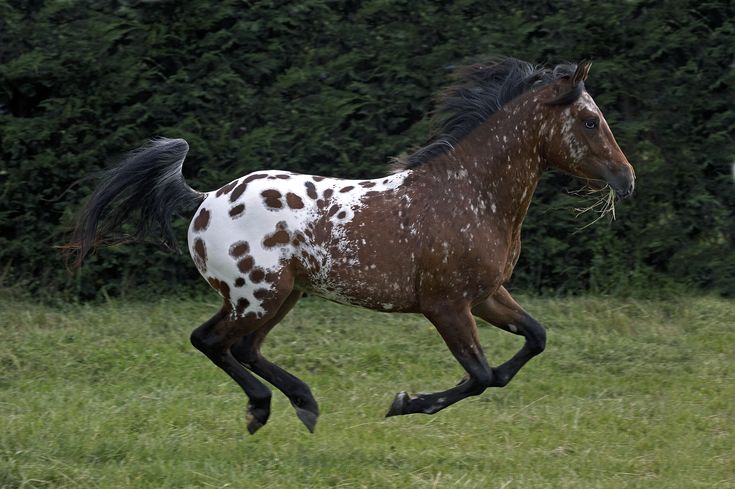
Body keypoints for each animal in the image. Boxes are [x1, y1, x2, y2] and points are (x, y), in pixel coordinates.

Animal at [69, 58, 636, 434]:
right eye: (590, 121)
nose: (626, 178)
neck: (469, 194)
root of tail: (206, 198)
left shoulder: (487, 295)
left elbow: (532, 341)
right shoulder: (447, 305)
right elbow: (481, 375)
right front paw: (405, 404)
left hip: (282, 296)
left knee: (242, 348)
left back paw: (300, 404)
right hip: (257, 297)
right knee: (210, 341)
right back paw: (266, 408)